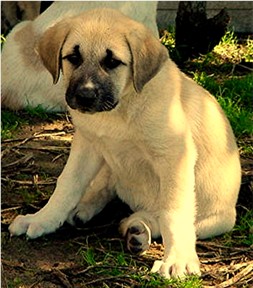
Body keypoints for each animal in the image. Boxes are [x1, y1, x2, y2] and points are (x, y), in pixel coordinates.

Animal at [8, 8, 241, 280]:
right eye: (73, 57)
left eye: (112, 62)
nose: (85, 96)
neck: (120, 109)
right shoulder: (88, 143)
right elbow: (67, 185)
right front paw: (43, 219)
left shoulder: (175, 156)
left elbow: (174, 210)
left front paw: (178, 259)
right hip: (109, 165)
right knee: (103, 188)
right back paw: (83, 209)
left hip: (215, 219)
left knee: (167, 217)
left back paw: (139, 228)